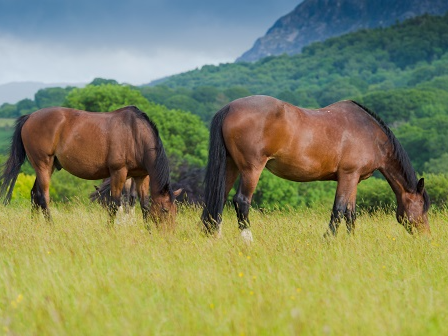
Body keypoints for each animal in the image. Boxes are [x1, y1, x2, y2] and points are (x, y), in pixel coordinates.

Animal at [1, 105, 182, 228]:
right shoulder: (118, 173)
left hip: (48, 167)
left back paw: (36, 225)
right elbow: (115, 204)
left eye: (175, 211)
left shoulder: (141, 176)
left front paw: (148, 230)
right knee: (43, 196)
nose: (168, 234)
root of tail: (30, 116)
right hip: (43, 165)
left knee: (34, 194)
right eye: (165, 210)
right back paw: (51, 226)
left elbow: (143, 205)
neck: (135, 134)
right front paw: (110, 229)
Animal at [202, 96, 430, 240]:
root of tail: (229, 108)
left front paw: (352, 241)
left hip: (231, 166)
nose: (426, 236)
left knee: (219, 199)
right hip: (251, 169)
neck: (370, 134)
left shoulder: (354, 179)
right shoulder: (348, 176)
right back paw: (248, 239)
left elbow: (350, 213)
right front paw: (328, 239)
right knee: (241, 201)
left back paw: (214, 236)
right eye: (422, 207)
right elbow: (339, 210)